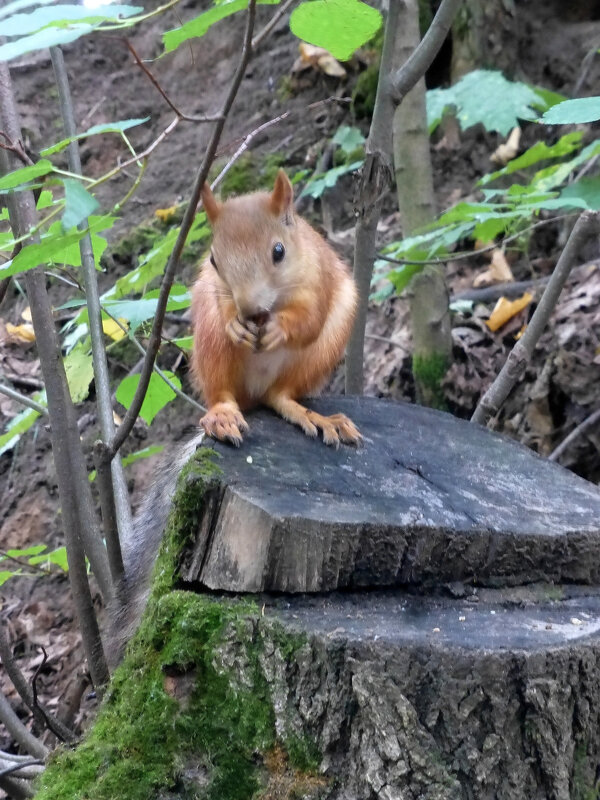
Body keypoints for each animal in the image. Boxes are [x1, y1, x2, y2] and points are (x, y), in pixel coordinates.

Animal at [191, 168, 360, 446]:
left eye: (279, 251)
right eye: (213, 260)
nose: (249, 310)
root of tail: (254, 392)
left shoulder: (317, 279)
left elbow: (311, 320)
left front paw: (279, 329)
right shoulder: (216, 289)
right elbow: (225, 306)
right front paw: (235, 324)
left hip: (321, 353)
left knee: (279, 396)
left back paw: (316, 417)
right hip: (211, 338)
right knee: (221, 392)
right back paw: (222, 416)